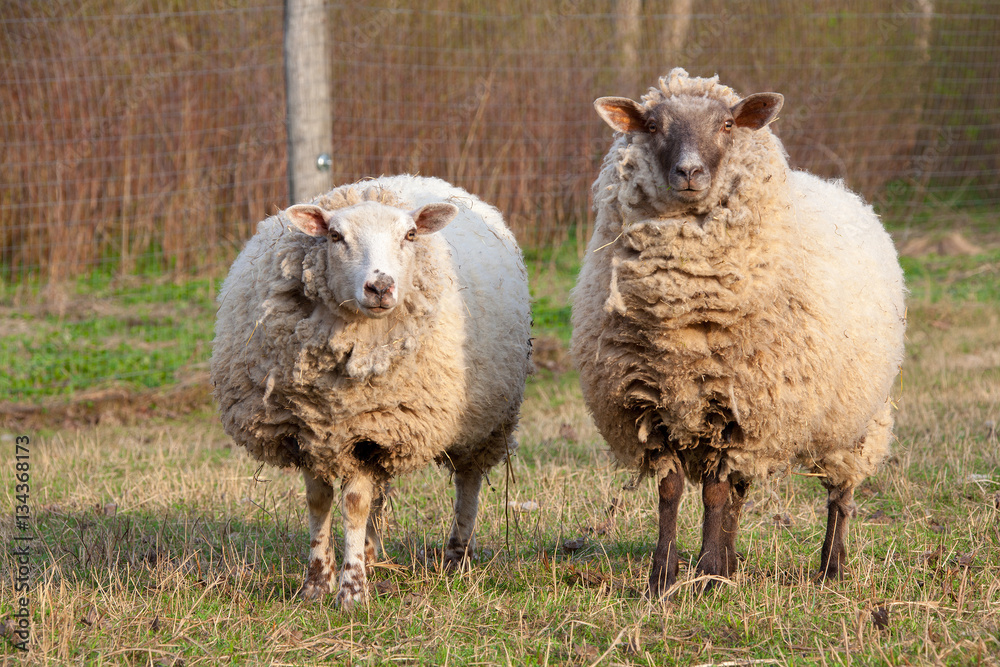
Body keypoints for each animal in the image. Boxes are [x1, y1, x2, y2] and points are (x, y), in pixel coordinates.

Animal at [211, 174, 532, 608]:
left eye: (410, 235)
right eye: (335, 235)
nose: (380, 287)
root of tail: (418, 178)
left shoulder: (368, 430)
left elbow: (355, 504)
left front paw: (352, 591)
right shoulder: (309, 430)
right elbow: (319, 502)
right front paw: (315, 584)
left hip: (483, 420)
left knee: (468, 481)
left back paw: (455, 557)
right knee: (382, 487)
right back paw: (372, 553)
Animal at [571, 68, 906, 598]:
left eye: (727, 124)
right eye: (652, 125)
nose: (688, 173)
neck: (682, 322)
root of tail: (840, 189)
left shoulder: (736, 407)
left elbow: (712, 493)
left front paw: (706, 575)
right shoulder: (655, 408)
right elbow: (673, 492)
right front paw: (664, 579)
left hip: (856, 417)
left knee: (840, 493)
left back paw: (830, 568)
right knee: (741, 491)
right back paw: (732, 561)